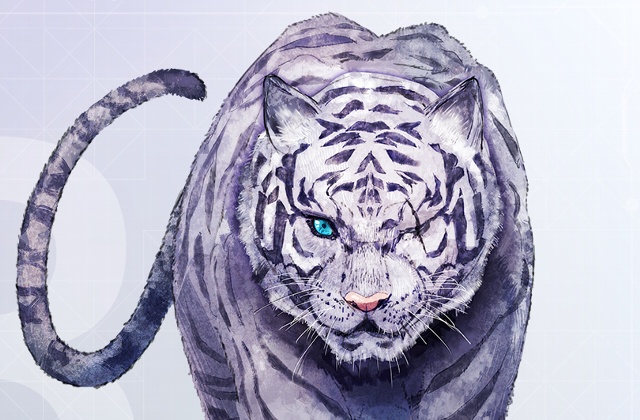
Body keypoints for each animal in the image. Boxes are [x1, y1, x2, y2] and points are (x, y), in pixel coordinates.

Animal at [17, 13, 533, 420]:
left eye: (416, 227)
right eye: (322, 225)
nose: (366, 303)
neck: (376, 377)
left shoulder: (479, 374)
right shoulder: (275, 380)